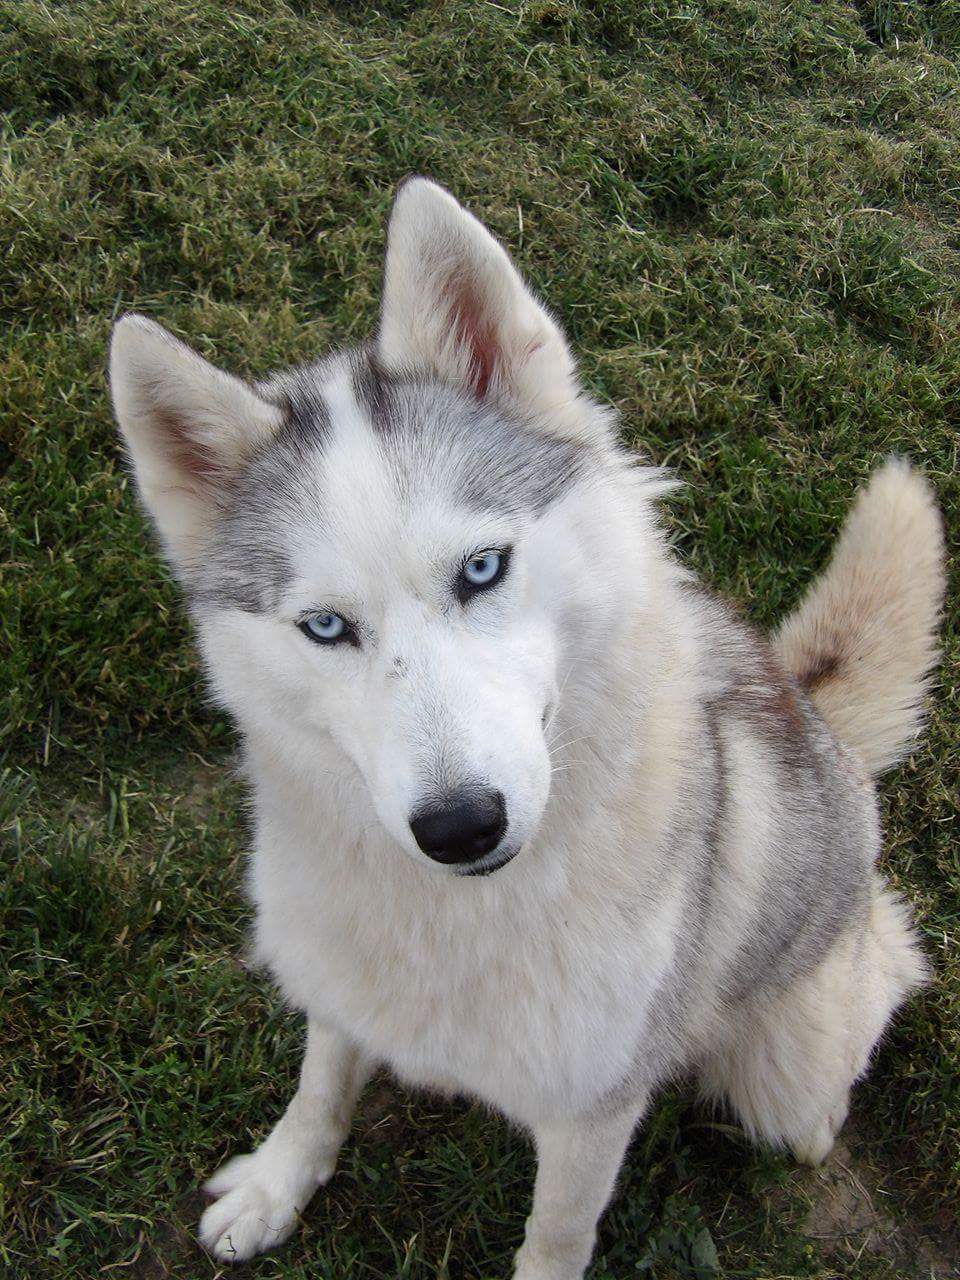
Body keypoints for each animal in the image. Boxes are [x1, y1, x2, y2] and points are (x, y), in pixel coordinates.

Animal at [108, 177, 942, 1269]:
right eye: (326, 626)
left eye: (482, 567)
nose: (461, 825)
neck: (457, 921)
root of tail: (812, 709)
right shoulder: (339, 985)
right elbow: (319, 1087)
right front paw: (278, 1181)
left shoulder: (594, 1110)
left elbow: (555, 1234)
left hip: (798, 1038)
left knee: (888, 964)